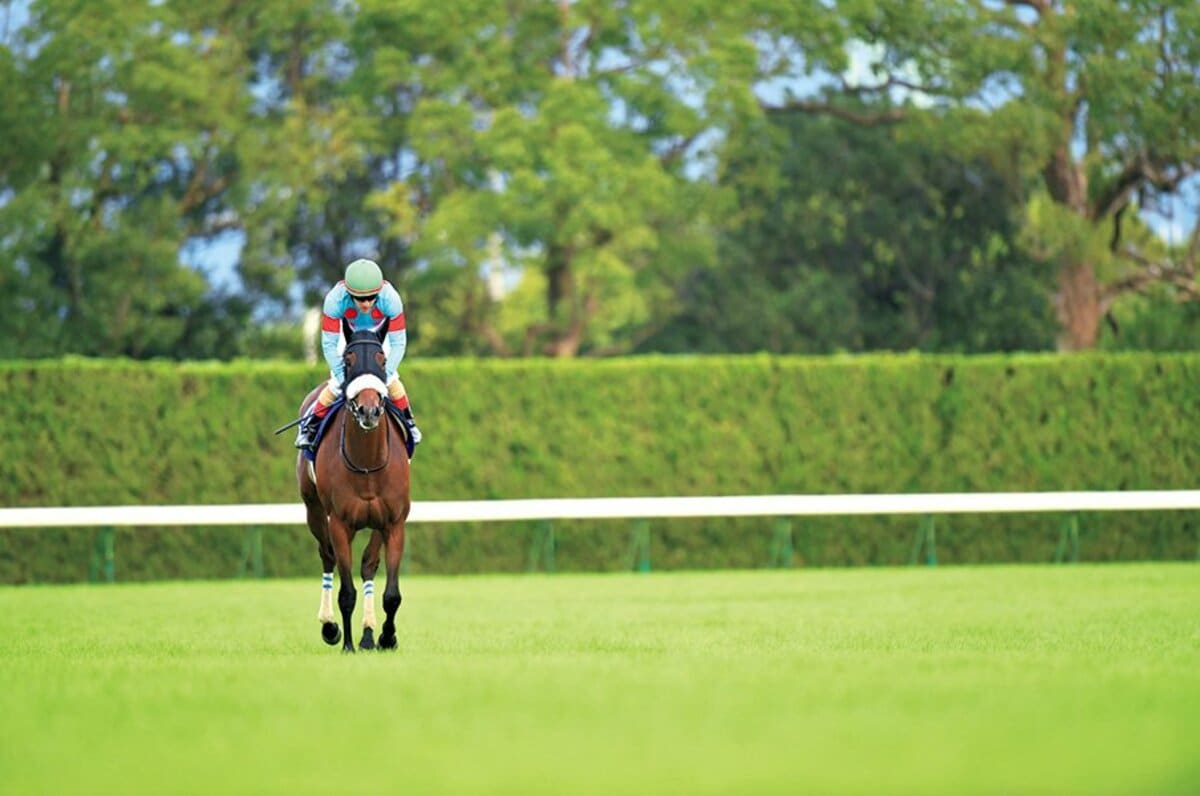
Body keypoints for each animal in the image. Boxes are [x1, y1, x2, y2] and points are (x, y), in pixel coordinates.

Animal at [296, 324, 410, 653]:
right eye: (348, 359)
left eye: (382, 358)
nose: (369, 410)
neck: (367, 463)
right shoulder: (340, 523)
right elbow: (346, 592)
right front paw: (346, 642)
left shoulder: (394, 523)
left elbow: (391, 594)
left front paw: (386, 637)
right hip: (313, 509)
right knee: (327, 555)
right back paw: (330, 626)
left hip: (376, 523)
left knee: (369, 565)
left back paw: (369, 634)